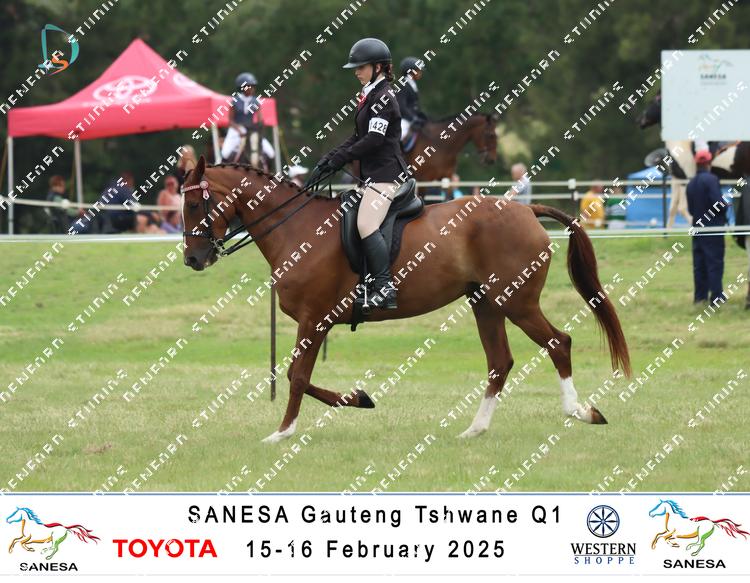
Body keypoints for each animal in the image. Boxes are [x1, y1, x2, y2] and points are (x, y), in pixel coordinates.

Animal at [181, 155, 631, 443]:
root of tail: (526, 211)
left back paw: (580, 412)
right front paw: (359, 399)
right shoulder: (316, 322)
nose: (192, 259)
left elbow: (296, 377)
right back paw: (475, 429)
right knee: (500, 362)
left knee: (558, 343)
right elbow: (302, 378)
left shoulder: (314, 319)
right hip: (485, 303)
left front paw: (282, 432)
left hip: (516, 302)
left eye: (195, 203)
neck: (298, 229)